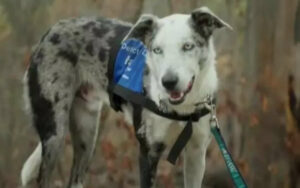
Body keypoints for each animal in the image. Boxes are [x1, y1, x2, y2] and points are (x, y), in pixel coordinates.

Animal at [21, 6, 231, 187]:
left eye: (188, 46)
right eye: (157, 50)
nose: (168, 82)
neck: (181, 109)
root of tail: (50, 32)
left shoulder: (197, 154)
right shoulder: (148, 152)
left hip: (86, 135)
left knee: (75, 180)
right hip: (54, 133)